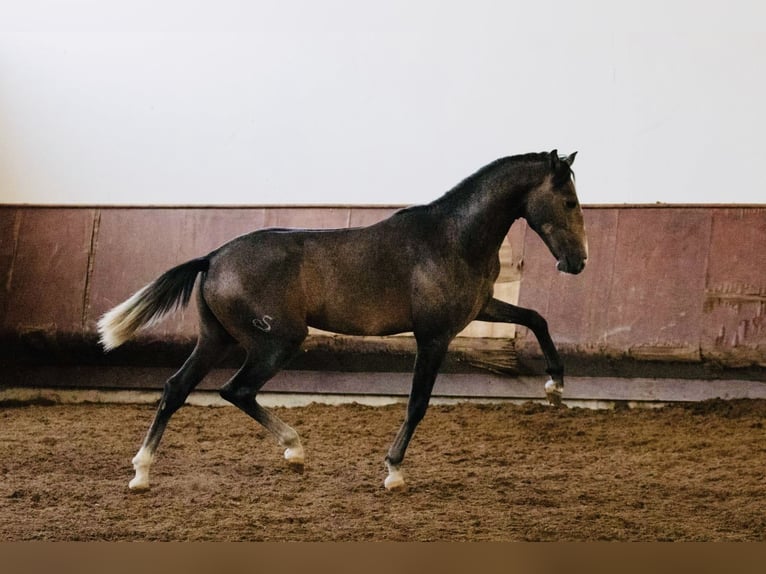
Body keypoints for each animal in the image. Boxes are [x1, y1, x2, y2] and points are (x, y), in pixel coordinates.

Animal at [96, 151, 588, 492]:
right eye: (568, 201)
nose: (578, 262)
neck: (453, 238)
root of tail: (213, 257)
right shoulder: (434, 336)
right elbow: (417, 403)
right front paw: (393, 472)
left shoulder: (478, 309)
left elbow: (536, 318)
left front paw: (555, 385)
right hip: (277, 341)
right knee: (235, 389)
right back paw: (293, 447)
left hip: (217, 339)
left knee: (176, 388)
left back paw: (142, 473)